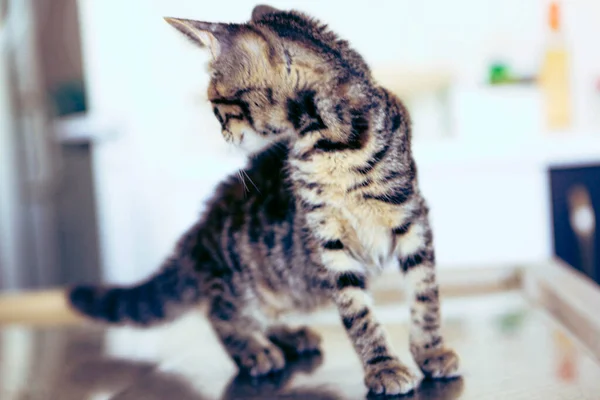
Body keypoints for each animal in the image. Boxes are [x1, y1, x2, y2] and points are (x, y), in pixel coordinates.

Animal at [71, 6, 464, 396]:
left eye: (216, 105)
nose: (223, 134)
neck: (334, 148)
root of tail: (199, 229)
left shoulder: (413, 218)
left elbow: (425, 294)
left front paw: (431, 351)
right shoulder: (328, 239)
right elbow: (357, 312)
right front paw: (383, 367)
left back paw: (291, 336)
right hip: (239, 277)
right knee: (220, 312)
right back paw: (254, 350)